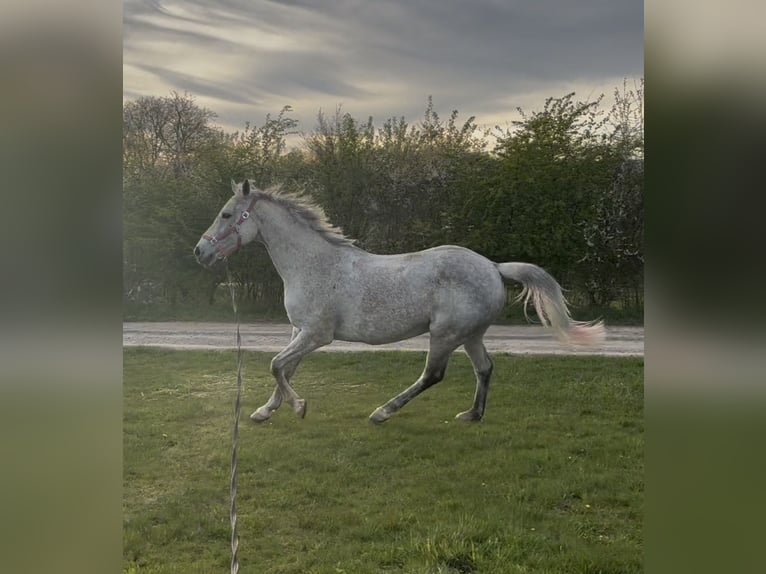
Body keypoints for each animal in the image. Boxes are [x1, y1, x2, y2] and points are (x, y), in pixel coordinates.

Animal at [194, 180, 604, 423]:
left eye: (226, 214)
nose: (200, 252)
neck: (314, 264)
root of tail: (492, 266)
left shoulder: (316, 334)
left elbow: (277, 365)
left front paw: (299, 407)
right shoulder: (299, 331)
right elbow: (285, 369)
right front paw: (265, 411)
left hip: (444, 334)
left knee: (433, 375)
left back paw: (383, 412)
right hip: (470, 335)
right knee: (485, 368)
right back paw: (471, 415)